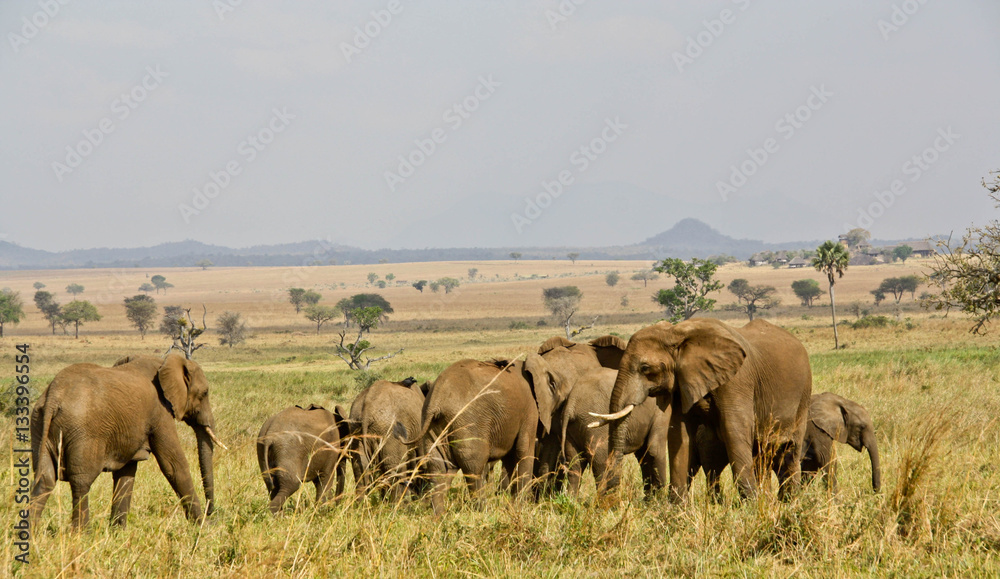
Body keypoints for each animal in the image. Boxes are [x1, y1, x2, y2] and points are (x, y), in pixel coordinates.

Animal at [30, 354, 223, 529]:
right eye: (204, 393)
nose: (211, 512)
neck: (164, 362)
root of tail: (53, 396)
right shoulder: (160, 412)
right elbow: (174, 465)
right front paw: (203, 527)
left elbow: (126, 472)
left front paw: (118, 531)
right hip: (83, 431)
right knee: (81, 480)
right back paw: (82, 533)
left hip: (39, 425)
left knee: (45, 479)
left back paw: (32, 534)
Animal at [598, 318, 812, 501]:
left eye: (644, 368)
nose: (610, 499)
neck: (677, 333)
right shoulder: (681, 382)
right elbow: (679, 436)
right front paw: (676, 511)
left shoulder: (737, 381)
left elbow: (734, 432)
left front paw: (750, 505)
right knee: (761, 455)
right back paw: (769, 501)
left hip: (803, 396)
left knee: (790, 453)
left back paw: (789, 502)